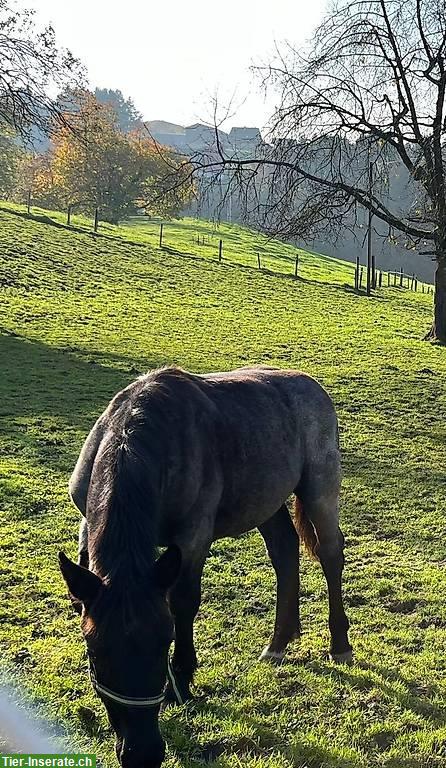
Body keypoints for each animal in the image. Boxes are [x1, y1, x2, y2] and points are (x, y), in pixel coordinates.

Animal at [59, 366, 352, 768]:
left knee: (331, 555)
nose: (142, 753)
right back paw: (278, 642)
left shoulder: (192, 538)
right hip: (265, 501)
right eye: (95, 651)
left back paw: (339, 643)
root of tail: (312, 386)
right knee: (284, 553)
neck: (138, 437)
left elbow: (184, 604)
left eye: (164, 641)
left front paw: (181, 680)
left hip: (319, 490)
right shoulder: (86, 524)